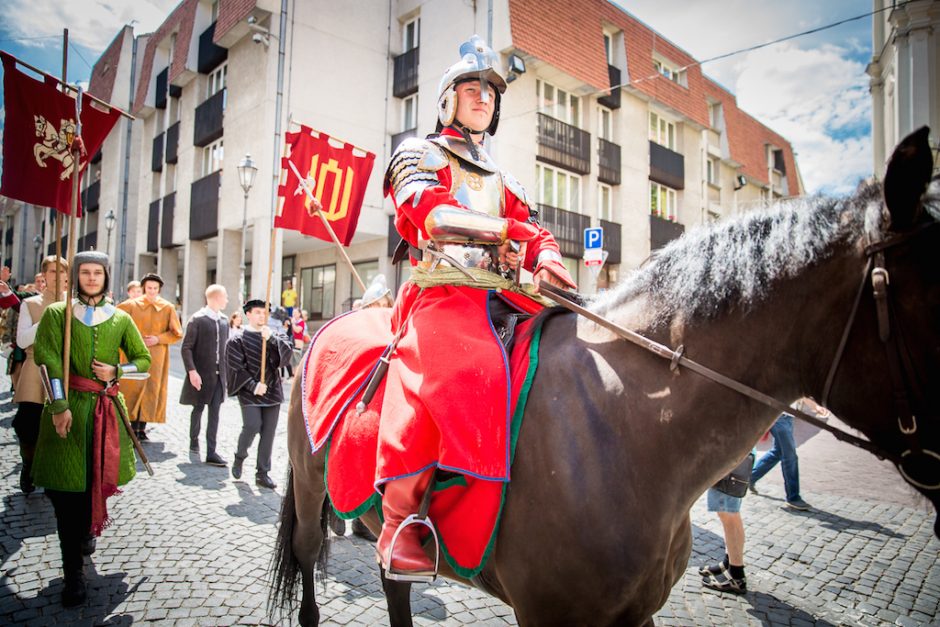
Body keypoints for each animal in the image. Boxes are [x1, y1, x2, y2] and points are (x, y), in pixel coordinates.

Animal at [270, 129, 940, 627]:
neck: (626, 421)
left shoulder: (634, 614)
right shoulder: (549, 614)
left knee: (394, 586)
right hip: (309, 488)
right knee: (311, 566)